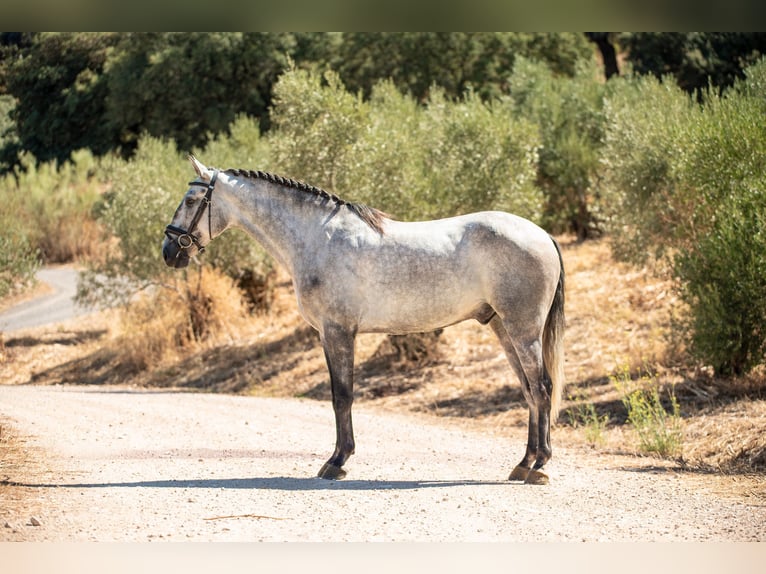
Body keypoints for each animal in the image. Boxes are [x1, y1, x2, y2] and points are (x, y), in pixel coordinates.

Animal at [165, 158, 568, 486]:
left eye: (191, 200)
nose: (170, 251)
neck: (317, 238)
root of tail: (542, 234)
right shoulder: (332, 334)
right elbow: (340, 395)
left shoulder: (337, 332)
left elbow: (341, 395)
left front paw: (337, 461)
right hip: (504, 328)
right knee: (529, 391)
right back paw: (524, 463)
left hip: (523, 329)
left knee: (542, 388)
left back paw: (539, 466)